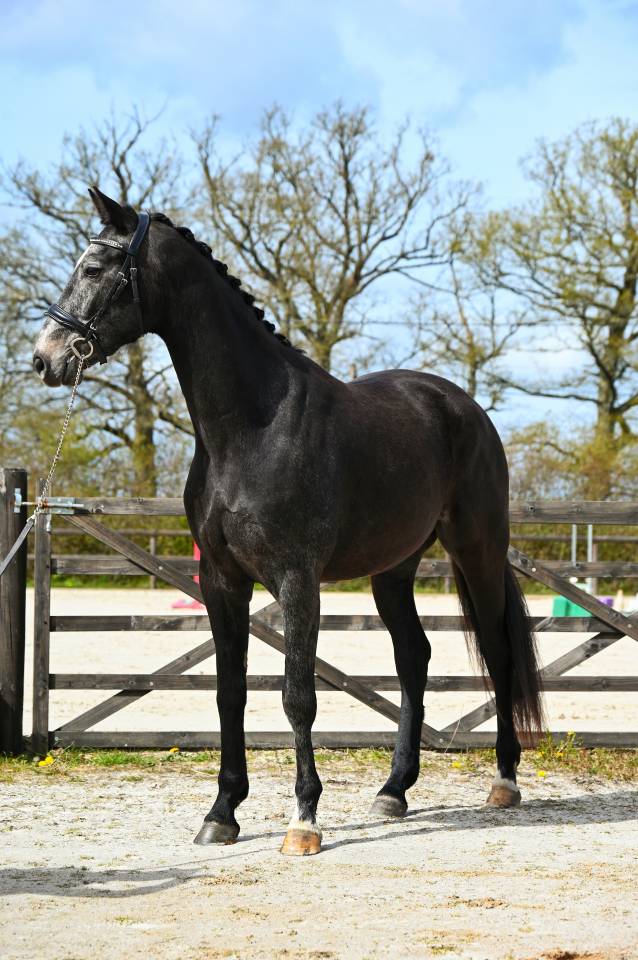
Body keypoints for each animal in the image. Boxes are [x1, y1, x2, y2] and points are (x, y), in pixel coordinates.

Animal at [33, 187, 543, 856]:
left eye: (93, 269)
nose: (45, 359)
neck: (252, 427)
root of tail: (465, 408)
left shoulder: (298, 581)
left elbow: (298, 696)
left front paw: (303, 821)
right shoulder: (221, 581)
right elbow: (229, 693)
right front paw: (223, 812)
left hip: (477, 550)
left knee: (499, 651)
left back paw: (504, 781)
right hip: (393, 569)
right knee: (413, 657)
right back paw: (393, 791)